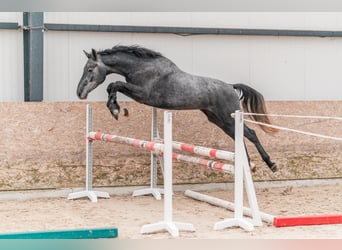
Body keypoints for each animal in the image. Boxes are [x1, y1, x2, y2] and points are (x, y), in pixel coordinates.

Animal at [77, 44, 278, 172]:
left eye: (90, 69)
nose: (80, 93)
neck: (141, 67)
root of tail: (230, 86)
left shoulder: (143, 93)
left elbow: (115, 85)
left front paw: (116, 110)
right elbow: (112, 86)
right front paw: (116, 109)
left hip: (228, 118)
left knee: (250, 134)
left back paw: (271, 164)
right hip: (218, 120)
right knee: (241, 136)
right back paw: (248, 164)